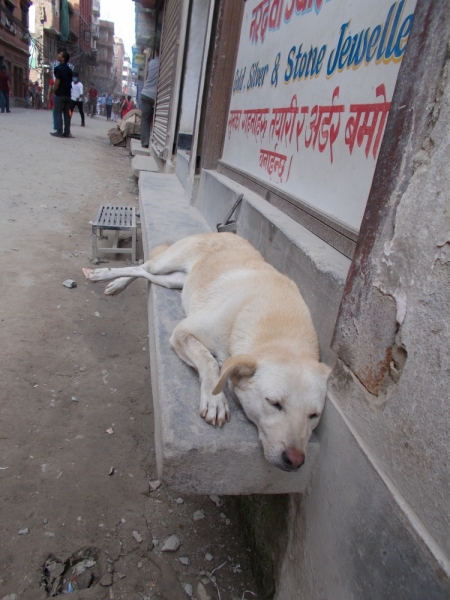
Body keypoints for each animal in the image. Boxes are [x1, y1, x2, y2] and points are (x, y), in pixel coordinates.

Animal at [83, 232, 330, 472]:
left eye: (314, 416)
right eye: (274, 403)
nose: (296, 460)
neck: (280, 327)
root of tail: (224, 231)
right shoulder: (183, 332)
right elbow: (210, 362)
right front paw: (215, 400)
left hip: (172, 280)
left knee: (144, 272)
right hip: (165, 264)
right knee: (143, 265)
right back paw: (107, 277)